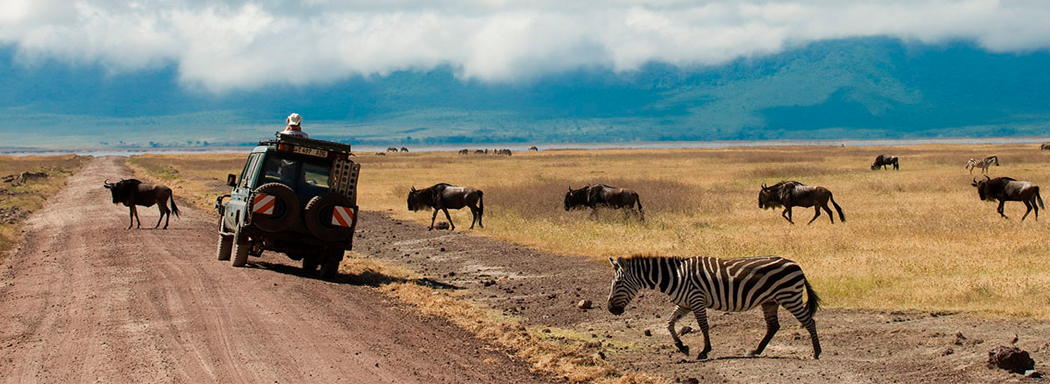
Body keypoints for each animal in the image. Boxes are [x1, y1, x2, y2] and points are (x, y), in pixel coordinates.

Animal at [609, 254, 818, 360]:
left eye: (617, 283)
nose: (611, 309)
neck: (676, 276)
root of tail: (796, 264)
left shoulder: (696, 299)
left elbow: (703, 326)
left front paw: (704, 350)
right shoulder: (685, 303)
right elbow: (669, 323)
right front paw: (682, 346)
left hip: (789, 296)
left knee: (809, 321)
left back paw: (816, 352)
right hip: (770, 301)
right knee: (773, 326)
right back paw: (756, 351)